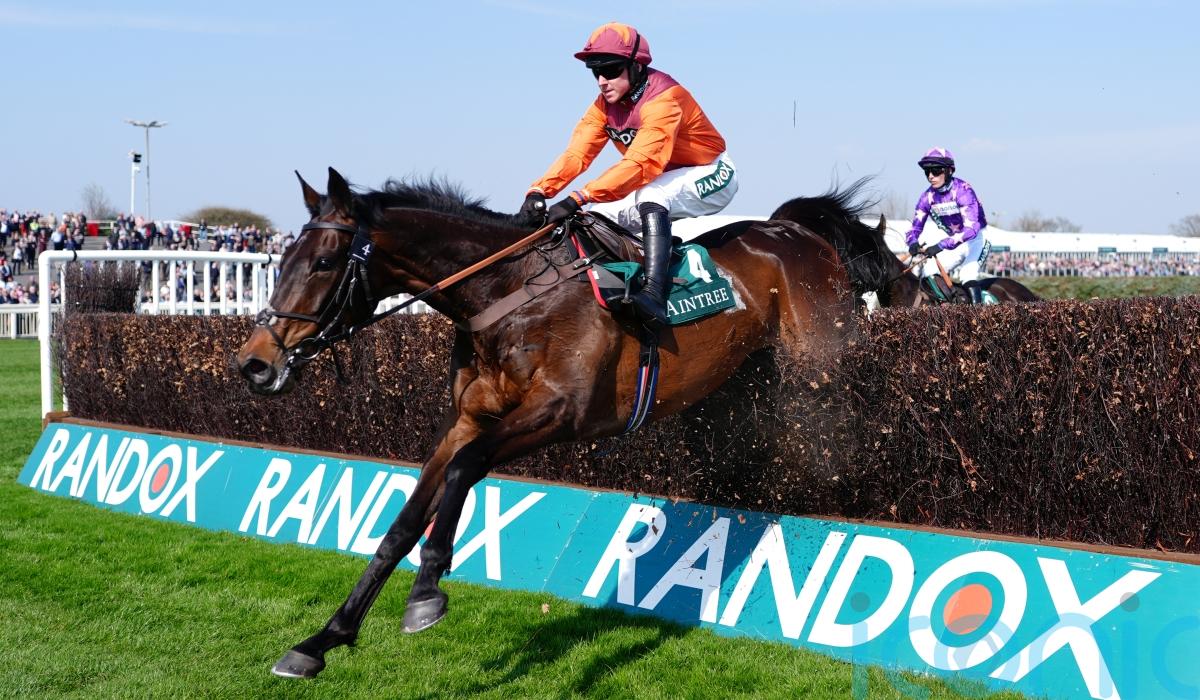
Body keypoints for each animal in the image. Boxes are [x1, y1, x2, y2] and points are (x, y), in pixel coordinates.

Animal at [235, 167, 857, 678]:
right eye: (281, 261)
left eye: (322, 263)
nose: (254, 363)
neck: (508, 293)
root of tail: (797, 231)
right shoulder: (467, 418)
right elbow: (403, 523)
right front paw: (322, 640)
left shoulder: (563, 411)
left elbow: (464, 470)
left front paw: (427, 590)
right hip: (741, 381)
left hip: (818, 364)